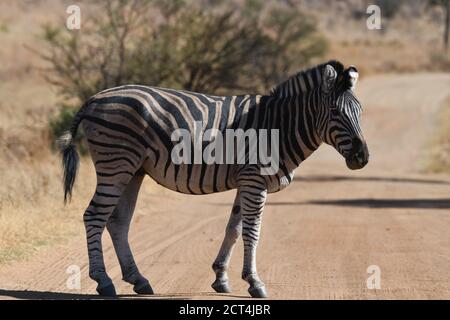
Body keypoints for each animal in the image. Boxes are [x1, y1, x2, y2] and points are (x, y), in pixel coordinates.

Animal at [59, 60, 370, 300]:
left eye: (360, 112)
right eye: (335, 112)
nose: (362, 157)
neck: (280, 126)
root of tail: (95, 97)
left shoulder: (246, 181)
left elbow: (233, 229)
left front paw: (221, 278)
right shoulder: (254, 180)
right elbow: (252, 232)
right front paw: (255, 283)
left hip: (133, 170)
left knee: (117, 222)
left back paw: (139, 280)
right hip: (116, 163)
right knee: (94, 216)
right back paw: (104, 282)